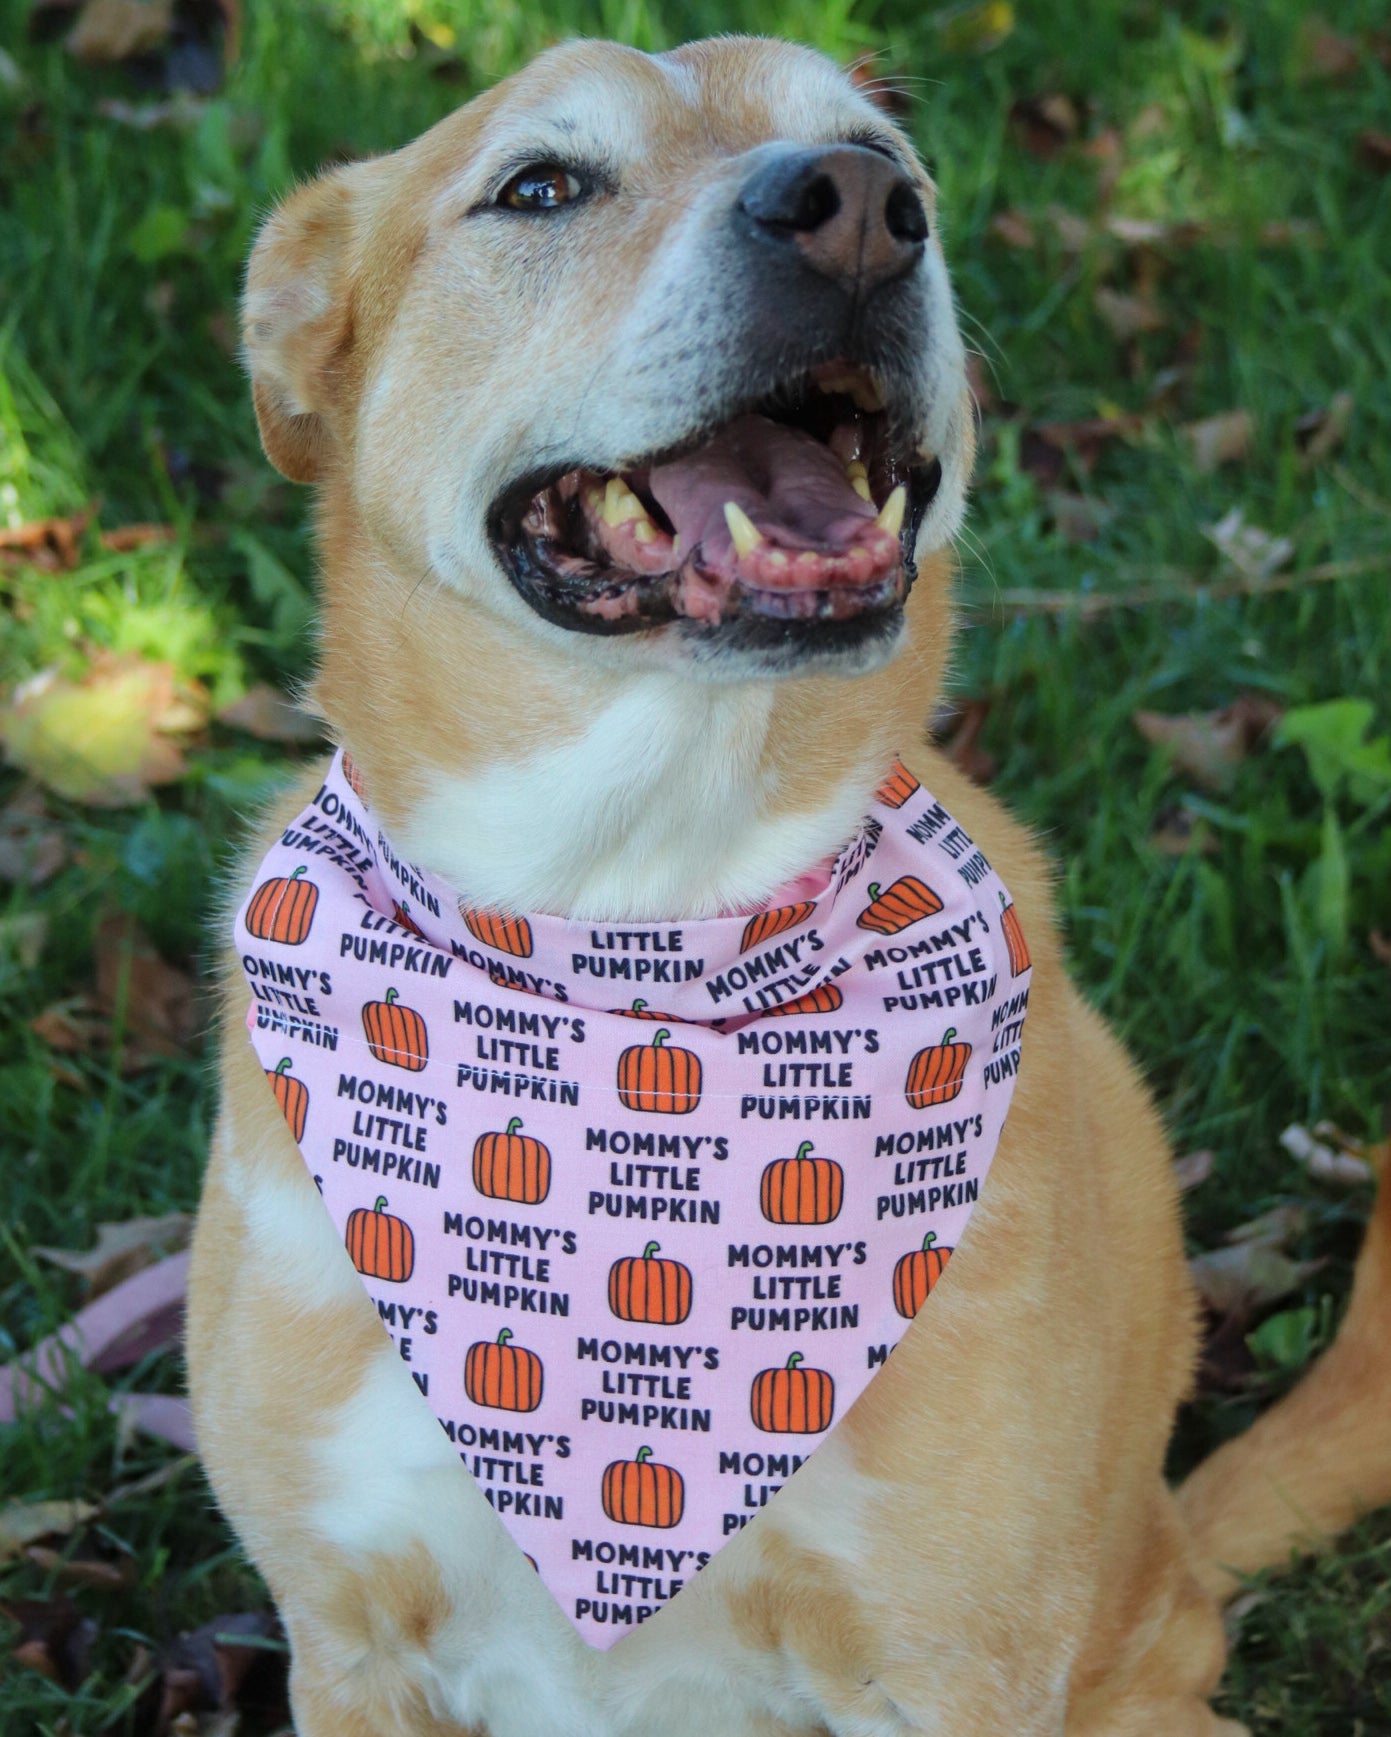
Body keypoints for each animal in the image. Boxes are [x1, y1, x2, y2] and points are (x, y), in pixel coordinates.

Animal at [190, 30, 1389, 1737]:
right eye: (538, 186)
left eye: (893, 160)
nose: (860, 216)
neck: (634, 930)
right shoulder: (351, 1642)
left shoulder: (955, 1664)